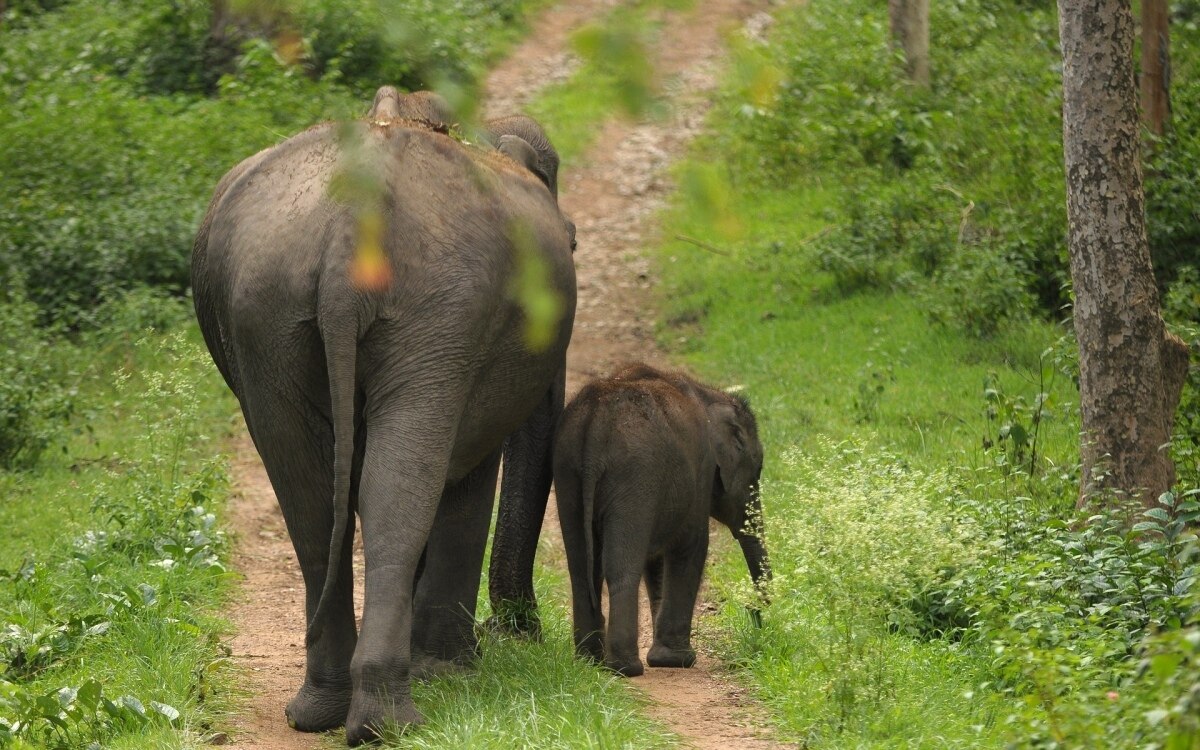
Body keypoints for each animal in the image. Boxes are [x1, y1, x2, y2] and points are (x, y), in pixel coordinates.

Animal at [192, 89, 576, 744]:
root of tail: (353, 223)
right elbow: (466, 478)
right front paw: (451, 671)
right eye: (573, 242)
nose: (520, 629)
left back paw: (326, 712)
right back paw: (390, 718)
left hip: (269, 312)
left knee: (312, 495)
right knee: (397, 489)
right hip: (434, 311)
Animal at [552, 360, 768, 676]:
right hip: (634, 476)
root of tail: (594, 425)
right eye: (757, 472)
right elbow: (691, 546)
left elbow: (654, 563)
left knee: (580, 568)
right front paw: (677, 661)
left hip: (568, 472)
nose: (754, 614)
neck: (709, 394)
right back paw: (626, 668)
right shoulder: (701, 469)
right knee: (621, 567)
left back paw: (589, 661)